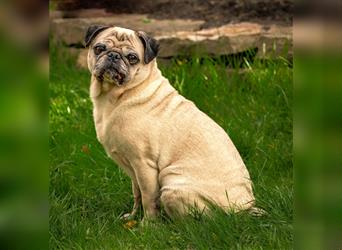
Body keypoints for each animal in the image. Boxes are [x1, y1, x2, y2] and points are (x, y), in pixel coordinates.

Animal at [85, 25, 256, 220]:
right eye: (99, 48)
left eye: (132, 58)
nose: (113, 55)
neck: (117, 95)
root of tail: (242, 209)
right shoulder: (133, 171)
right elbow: (137, 194)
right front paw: (133, 217)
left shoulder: (144, 165)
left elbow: (148, 199)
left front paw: (148, 224)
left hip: (171, 188)